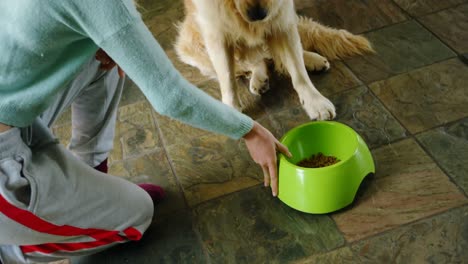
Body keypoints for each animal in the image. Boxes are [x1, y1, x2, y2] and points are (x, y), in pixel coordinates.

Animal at [175, 0, 372, 119]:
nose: (258, 14)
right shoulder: (217, 32)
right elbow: (227, 79)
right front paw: (232, 110)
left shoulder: (281, 19)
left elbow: (298, 72)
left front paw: (314, 102)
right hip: (193, 48)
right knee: (256, 61)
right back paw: (259, 78)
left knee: (272, 55)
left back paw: (311, 59)